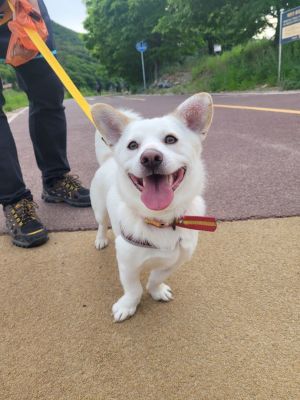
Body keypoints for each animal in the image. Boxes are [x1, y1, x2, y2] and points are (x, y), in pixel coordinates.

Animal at [91, 93, 213, 322]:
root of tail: (109, 159)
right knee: (102, 225)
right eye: (132, 145)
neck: (161, 220)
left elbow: (156, 278)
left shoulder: (176, 260)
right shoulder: (126, 262)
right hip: (100, 210)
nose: (150, 157)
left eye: (170, 139)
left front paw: (157, 291)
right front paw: (127, 306)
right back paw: (101, 240)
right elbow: (133, 289)